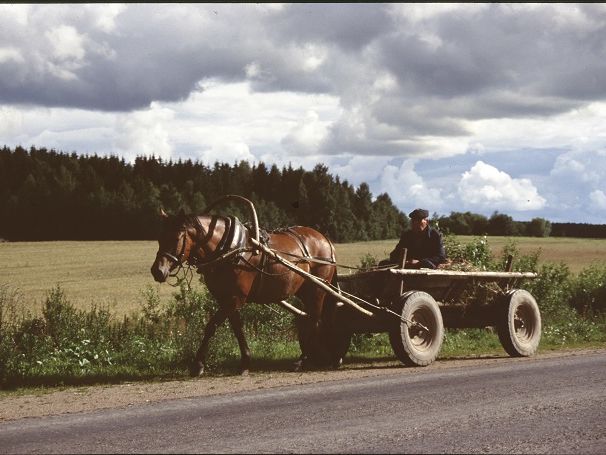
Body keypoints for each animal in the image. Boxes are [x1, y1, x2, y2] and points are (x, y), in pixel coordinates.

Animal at [150, 200, 340, 378]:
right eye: (159, 238)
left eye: (176, 238)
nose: (157, 271)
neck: (231, 249)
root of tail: (325, 240)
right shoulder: (226, 298)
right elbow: (238, 329)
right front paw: (245, 363)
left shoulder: (235, 298)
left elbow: (211, 326)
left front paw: (197, 365)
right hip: (305, 291)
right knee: (312, 320)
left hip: (317, 290)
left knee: (315, 320)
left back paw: (303, 359)